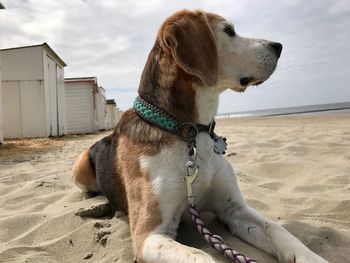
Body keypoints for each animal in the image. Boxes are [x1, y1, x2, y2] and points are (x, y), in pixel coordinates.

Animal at [72, 9, 330, 262]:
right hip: (80, 164)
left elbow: (276, 229)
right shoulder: (149, 235)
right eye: (229, 30)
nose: (278, 46)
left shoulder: (234, 209)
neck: (191, 132)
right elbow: (202, 256)